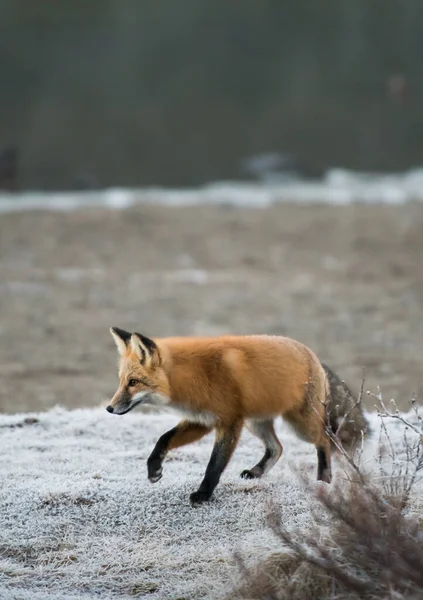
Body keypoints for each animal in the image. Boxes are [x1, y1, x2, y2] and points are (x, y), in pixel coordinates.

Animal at [107, 328, 370, 506]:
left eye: (133, 382)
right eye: (121, 381)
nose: (109, 409)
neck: (193, 375)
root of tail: (313, 355)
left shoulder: (229, 421)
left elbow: (215, 464)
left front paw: (203, 494)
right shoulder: (202, 420)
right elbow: (164, 438)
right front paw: (154, 468)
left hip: (301, 424)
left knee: (325, 440)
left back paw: (324, 478)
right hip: (256, 423)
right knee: (277, 448)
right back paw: (256, 472)